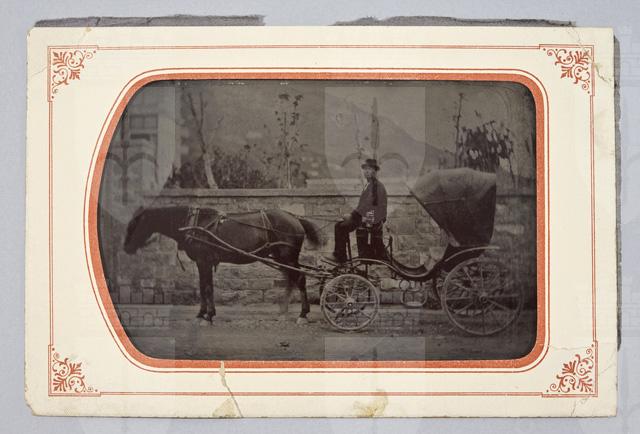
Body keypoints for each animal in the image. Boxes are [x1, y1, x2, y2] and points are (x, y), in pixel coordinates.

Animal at [123, 206, 321, 325]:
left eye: (135, 225)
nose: (126, 248)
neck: (194, 225)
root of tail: (295, 218)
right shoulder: (203, 263)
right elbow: (203, 286)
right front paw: (202, 314)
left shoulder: (204, 261)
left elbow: (207, 288)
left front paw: (208, 316)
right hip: (282, 258)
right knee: (291, 280)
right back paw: (283, 311)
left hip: (288, 257)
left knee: (300, 279)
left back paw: (302, 314)